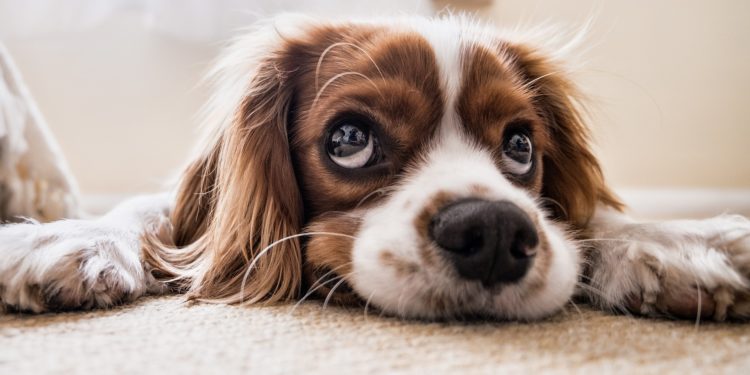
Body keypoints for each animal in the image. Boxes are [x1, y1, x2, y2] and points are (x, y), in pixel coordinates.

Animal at [1, 13, 750, 320]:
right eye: (350, 139)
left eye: (520, 146)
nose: (494, 232)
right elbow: (151, 213)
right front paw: (66, 238)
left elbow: (592, 219)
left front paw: (679, 243)